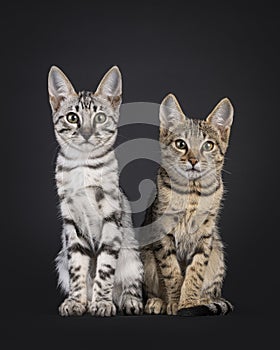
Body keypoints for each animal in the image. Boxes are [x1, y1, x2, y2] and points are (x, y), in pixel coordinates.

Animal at [47, 65, 142, 318]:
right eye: (72, 117)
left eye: (100, 117)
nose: (87, 133)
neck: (83, 164)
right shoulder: (71, 222)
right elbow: (78, 269)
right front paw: (76, 302)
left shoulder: (111, 218)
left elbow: (105, 269)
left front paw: (102, 302)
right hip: (60, 260)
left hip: (132, 255)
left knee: (130, 284)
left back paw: (128, 301)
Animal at [142, 94, 234, 316]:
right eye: (180, 144)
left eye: (208, 146)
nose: (193, 160)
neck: (192, 192)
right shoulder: (162, 233)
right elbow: (172, 271)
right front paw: (175, 302)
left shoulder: (206, 235)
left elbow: (195, 272)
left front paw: (189, 302)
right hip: (145, 258)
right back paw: (157, 301)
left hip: (218, 253)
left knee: (212, 289)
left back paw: (205, 300)